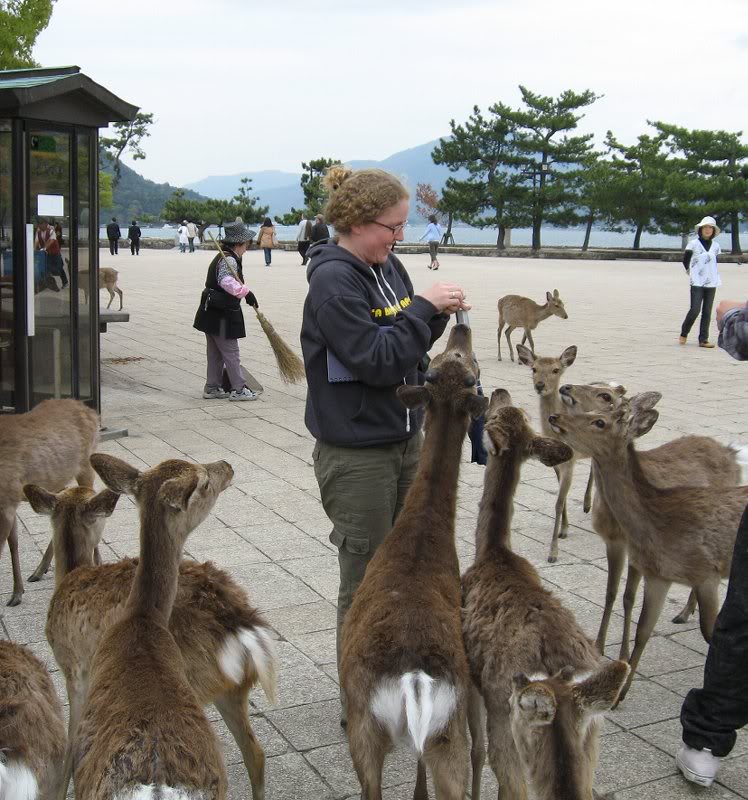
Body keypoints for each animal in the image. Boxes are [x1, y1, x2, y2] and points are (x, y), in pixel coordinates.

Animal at [0, 399, 99, 606]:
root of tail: (91, 411)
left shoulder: (7, 496)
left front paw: (16, 594)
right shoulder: (9, 501)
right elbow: (13, 542)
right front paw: (17, 593)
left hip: (86, 465)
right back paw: (39, 570)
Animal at [340, 323, 488, 800]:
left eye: (469, 362)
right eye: (440, 359)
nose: (461, 324)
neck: (419, 542)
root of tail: (414, 680)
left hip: (371, 729)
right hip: (436, 731)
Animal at [461, 388, 629, 800]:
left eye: (495, 416)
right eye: (515, 413)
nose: (498, 391)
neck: (492, 550)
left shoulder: (470, 672)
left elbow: (474, 750)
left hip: (507, 713)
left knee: (508, 776)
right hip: (591, 733)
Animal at [515, 343, 592, 563]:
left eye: (556, 370)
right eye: (534, 368)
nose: (540, 385)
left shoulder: (571, 461)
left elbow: (558, 502)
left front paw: (553, 552)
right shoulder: (557, 463)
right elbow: (561, 497)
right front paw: (563, 531)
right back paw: (587, 504)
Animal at [549, 397, 748, 704]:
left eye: (599, 422)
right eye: (593, 411)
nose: (554, 416)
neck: (658, 522)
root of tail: (732, 452)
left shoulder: (706, 574)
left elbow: (711, 633)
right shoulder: (657, 576)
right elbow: (643, 630)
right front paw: (620, 694)